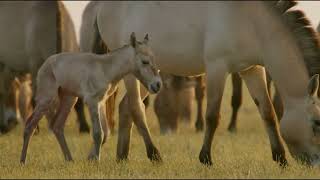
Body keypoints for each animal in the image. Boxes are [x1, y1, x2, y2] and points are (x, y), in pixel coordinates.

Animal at [0, 1, 90, 134]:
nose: (55, 127)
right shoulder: (35, 67)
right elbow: (34, 99)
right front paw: (35, 129)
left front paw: (84, 127)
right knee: (3, 92)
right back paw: (5, 125)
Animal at [20, 32, 161, 163]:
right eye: (145, 61)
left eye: (154, 59)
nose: (157, 85)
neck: (105, 68)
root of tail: (45, 64)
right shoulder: (92, 101)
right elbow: (98, 133)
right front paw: (96, 160)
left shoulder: (101, 102)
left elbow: (105, 132)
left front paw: (92, 159)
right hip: (47, 99)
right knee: (30, 125)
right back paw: (22, 161)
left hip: (69, 99)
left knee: (57, 126)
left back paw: (70, 160)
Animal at [80, 0, 320, 166]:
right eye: (316, 123)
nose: (316, 163)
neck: (250, 20)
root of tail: (101, 6)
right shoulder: (217, 68)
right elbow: (212, 116)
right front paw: (206, 158)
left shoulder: (251, 70)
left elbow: (268, 112)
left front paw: (280, 158)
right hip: (133, 73)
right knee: (136, 108)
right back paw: (154, 154)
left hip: (146, 78)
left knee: (124, 108)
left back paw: (122, 156)